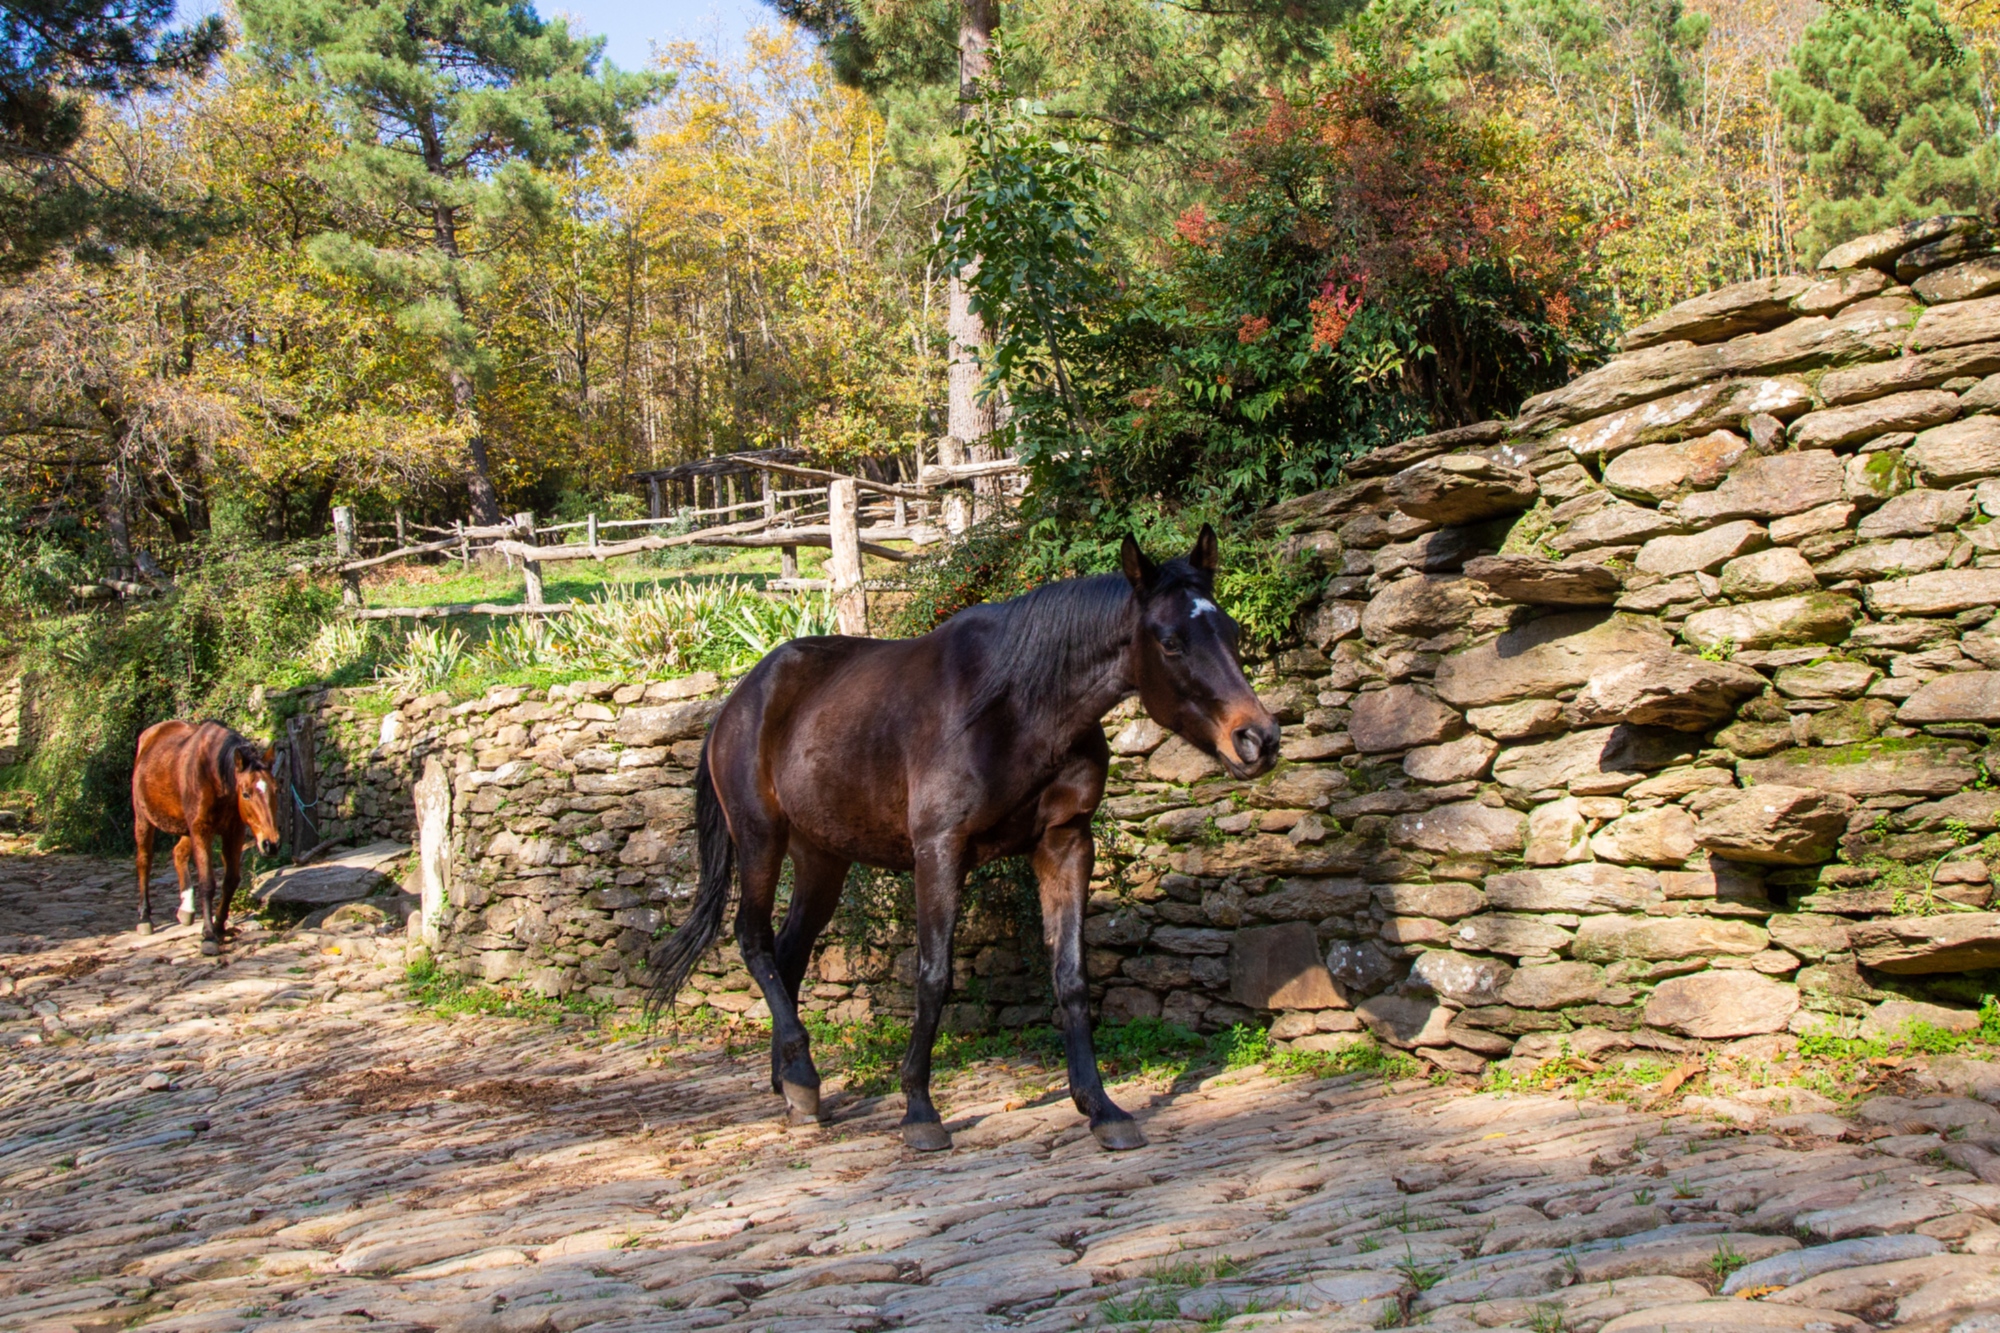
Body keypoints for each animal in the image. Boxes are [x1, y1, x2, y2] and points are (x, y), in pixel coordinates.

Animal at [133, 720, 282, 948]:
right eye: (246, 794)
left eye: (276, 790)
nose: (271, 844)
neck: (213, 774)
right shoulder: (201, 829)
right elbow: (207, 882)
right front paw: (209, 933)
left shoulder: (233, 831)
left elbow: (231, 880)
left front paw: (219, 926)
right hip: (144, 818)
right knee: (144, 861)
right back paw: (144, 918)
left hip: (187, 828)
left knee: (179, 854)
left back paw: (186, 909)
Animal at [656, 524, 1280, 1144]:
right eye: (1170, 642)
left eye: (1231, 631)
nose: (1259, 739)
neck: (1018, 711)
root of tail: (738, 699)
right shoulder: (939, 852)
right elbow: (934, 974)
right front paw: (919, 1109)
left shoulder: (1066, 844)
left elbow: (1072, 977)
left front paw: (1101, 1108)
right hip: (761, 837)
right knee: (754, 939)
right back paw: (802, 1077)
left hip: (823, 856)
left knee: (788, 951)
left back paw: (791, 1082)